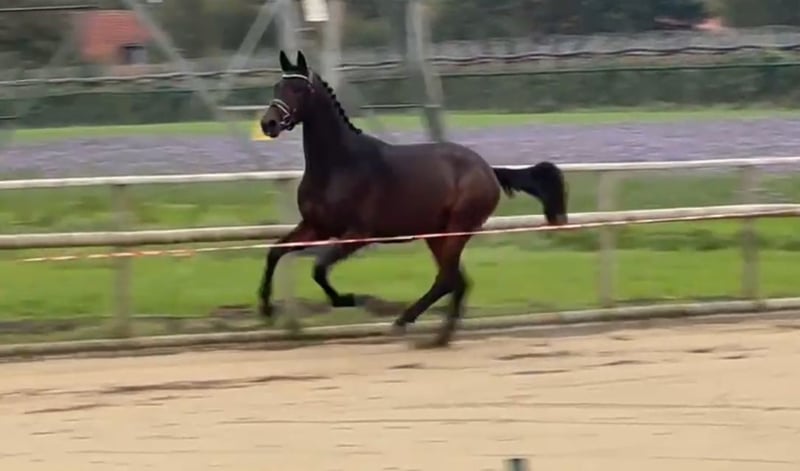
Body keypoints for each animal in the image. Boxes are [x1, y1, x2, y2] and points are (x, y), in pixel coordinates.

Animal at [257, 50, 568, 347]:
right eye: (277, 85)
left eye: (299, 89)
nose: (268, 123)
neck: (339, 165)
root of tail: (488, 169)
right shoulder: (316, 227)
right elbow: (276, 251)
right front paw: (266, 310)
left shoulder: (358, 234)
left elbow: (319, 269)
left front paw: (348, 299)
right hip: (436, 235)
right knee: (457, 280)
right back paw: (438, 336)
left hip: (457, 228)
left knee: (447, 279)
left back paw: (405, 323)